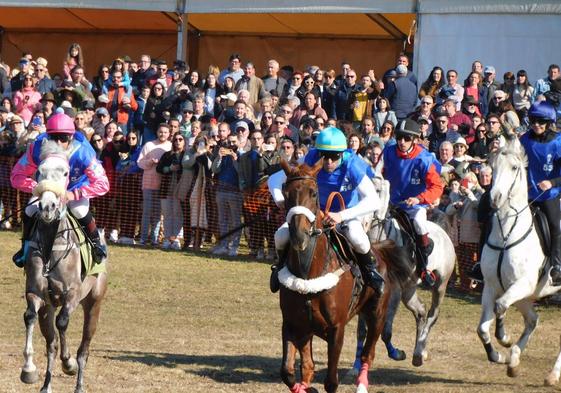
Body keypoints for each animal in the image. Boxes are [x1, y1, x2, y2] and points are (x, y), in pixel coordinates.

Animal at [19, 141, 107, 392]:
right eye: (39, 171)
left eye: (67, 173)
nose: (47, 206)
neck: (51, 246)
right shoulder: (36, 293)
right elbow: (30, 316)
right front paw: (28, 370)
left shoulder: (72, 294)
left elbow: (63, 322)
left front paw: (68, 364)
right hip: (48, 307)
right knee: (51, 343)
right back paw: (46, 384)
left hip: (94, 304)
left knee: (83, 348)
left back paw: (78, 380)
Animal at [276, 160, 412, 392]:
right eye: (286, 193)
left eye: (314, 193)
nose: (299, 236)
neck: (308, 274)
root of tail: (378, 249)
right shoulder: (292, 324)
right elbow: (287, 372)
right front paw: (307, 387)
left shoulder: (336, 329)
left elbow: (331, 381)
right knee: (309, 365)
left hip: (376, 315)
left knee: (367, 354)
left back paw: (362, 384)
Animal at [354, 178, 456, 368]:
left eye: (377, 191)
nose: (361, 221)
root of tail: (443, 233)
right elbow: (361, 331)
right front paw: (356, 364)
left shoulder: (394, 291)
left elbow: (385, 331)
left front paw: (396, 353)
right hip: (409, 290)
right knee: (421, 312)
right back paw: (420, 350)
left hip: (440, 286)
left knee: (432, 315)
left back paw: (418, 353)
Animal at [474, 136, 560, 382]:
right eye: (491, 167)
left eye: (514, 168)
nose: (494, 198)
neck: (506, 234)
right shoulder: (492, 286)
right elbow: (482, 329)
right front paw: (498, 356)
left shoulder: (523, 284)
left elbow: (501, 306)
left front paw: (504, 338)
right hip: (525, 296)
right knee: (532, 320)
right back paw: (514, 359)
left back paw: (553, 374)